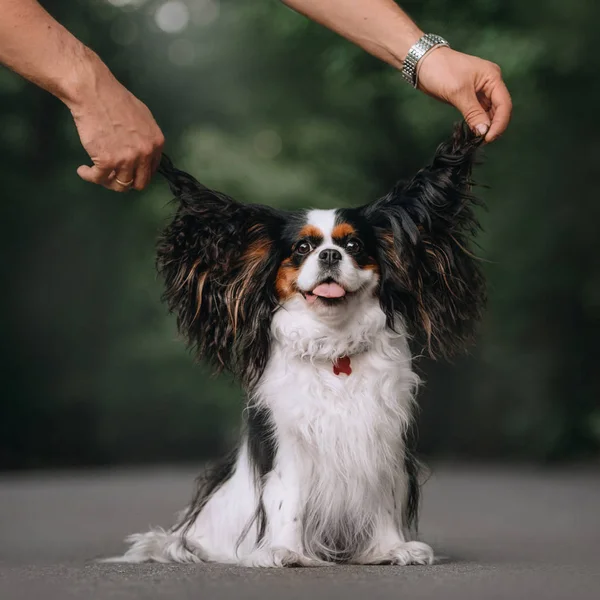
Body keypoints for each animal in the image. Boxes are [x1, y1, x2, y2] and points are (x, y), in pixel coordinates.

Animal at [110, 123, 486, 568]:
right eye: (302, 248)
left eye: (354, 246)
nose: (329, 254)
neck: (334, 346)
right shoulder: (291, 444)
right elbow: (287, 500)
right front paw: (284, 552)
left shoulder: (379, 440)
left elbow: (383, 500)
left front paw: (391, 548)